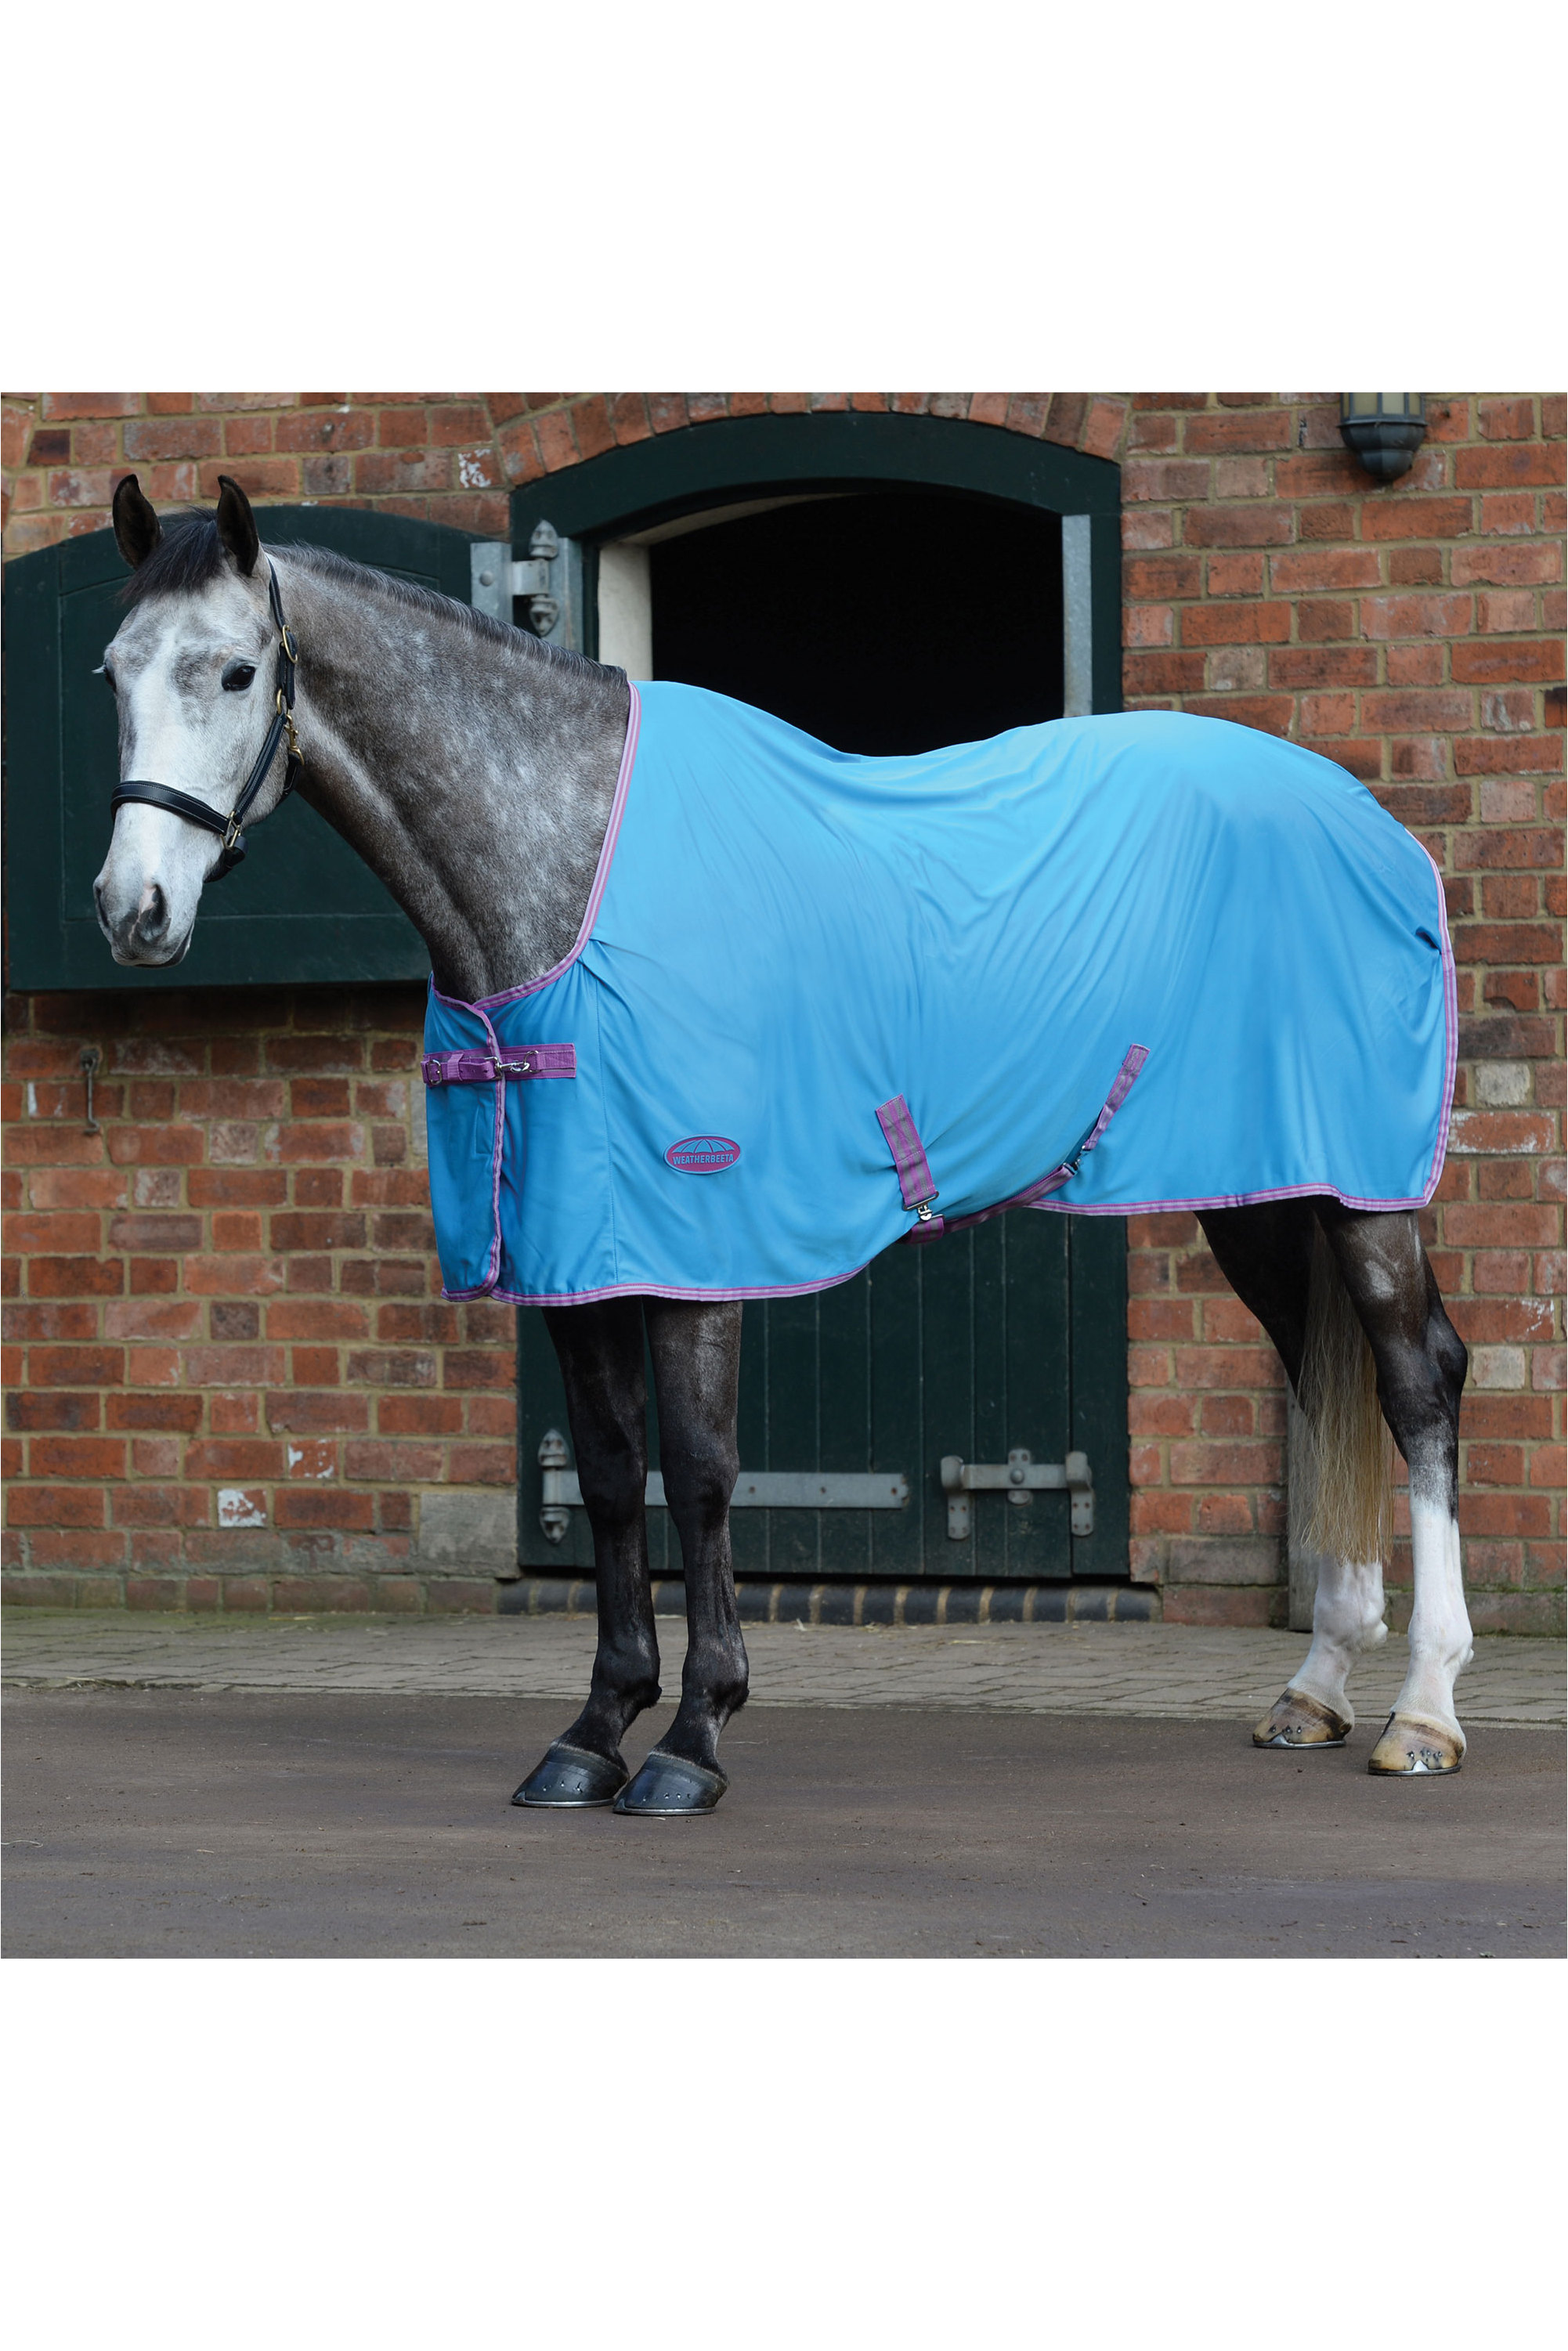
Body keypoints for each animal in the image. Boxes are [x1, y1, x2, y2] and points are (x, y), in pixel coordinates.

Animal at [92, 473, 1473, 1813]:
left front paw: (693, 1740)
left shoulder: (698, 1247)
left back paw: (1422, 1711)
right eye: (111, 669)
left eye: (234, 671)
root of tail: (1372, 823)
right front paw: (592, 1733)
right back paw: (1313, 1688)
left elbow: (701, 1475)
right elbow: (610, 1475)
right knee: (1324, 1374)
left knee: (1416, 1381)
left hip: (1359, 1186)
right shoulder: (572, 1257)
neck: (568, 868)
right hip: (1260, 1189)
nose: (132, 910)